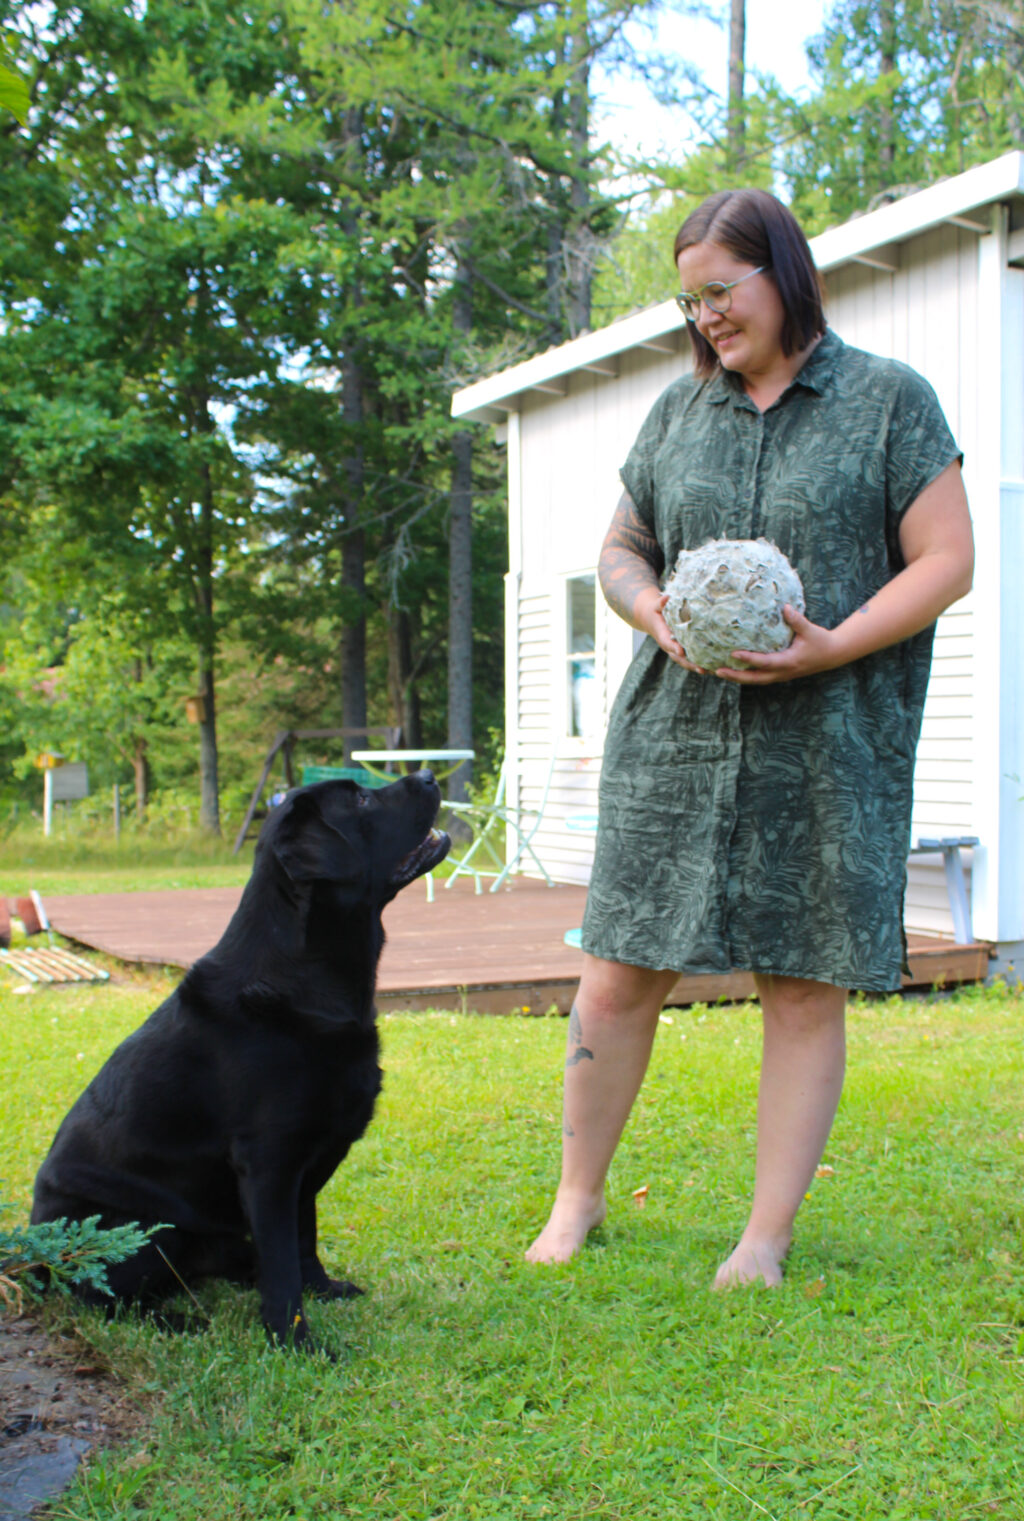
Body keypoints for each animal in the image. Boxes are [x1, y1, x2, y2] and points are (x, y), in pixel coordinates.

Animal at [31, 771, 450, 1349]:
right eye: (363, 799)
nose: (429, 775)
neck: (303, 977)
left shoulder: (303, 1166)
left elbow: (303, 1240)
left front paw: (322, 1290)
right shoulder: (268, 1162)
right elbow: (281, 1265)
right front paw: (296, 1343)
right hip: (139, 1227)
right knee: (102, 1297)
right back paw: (178, 1321)